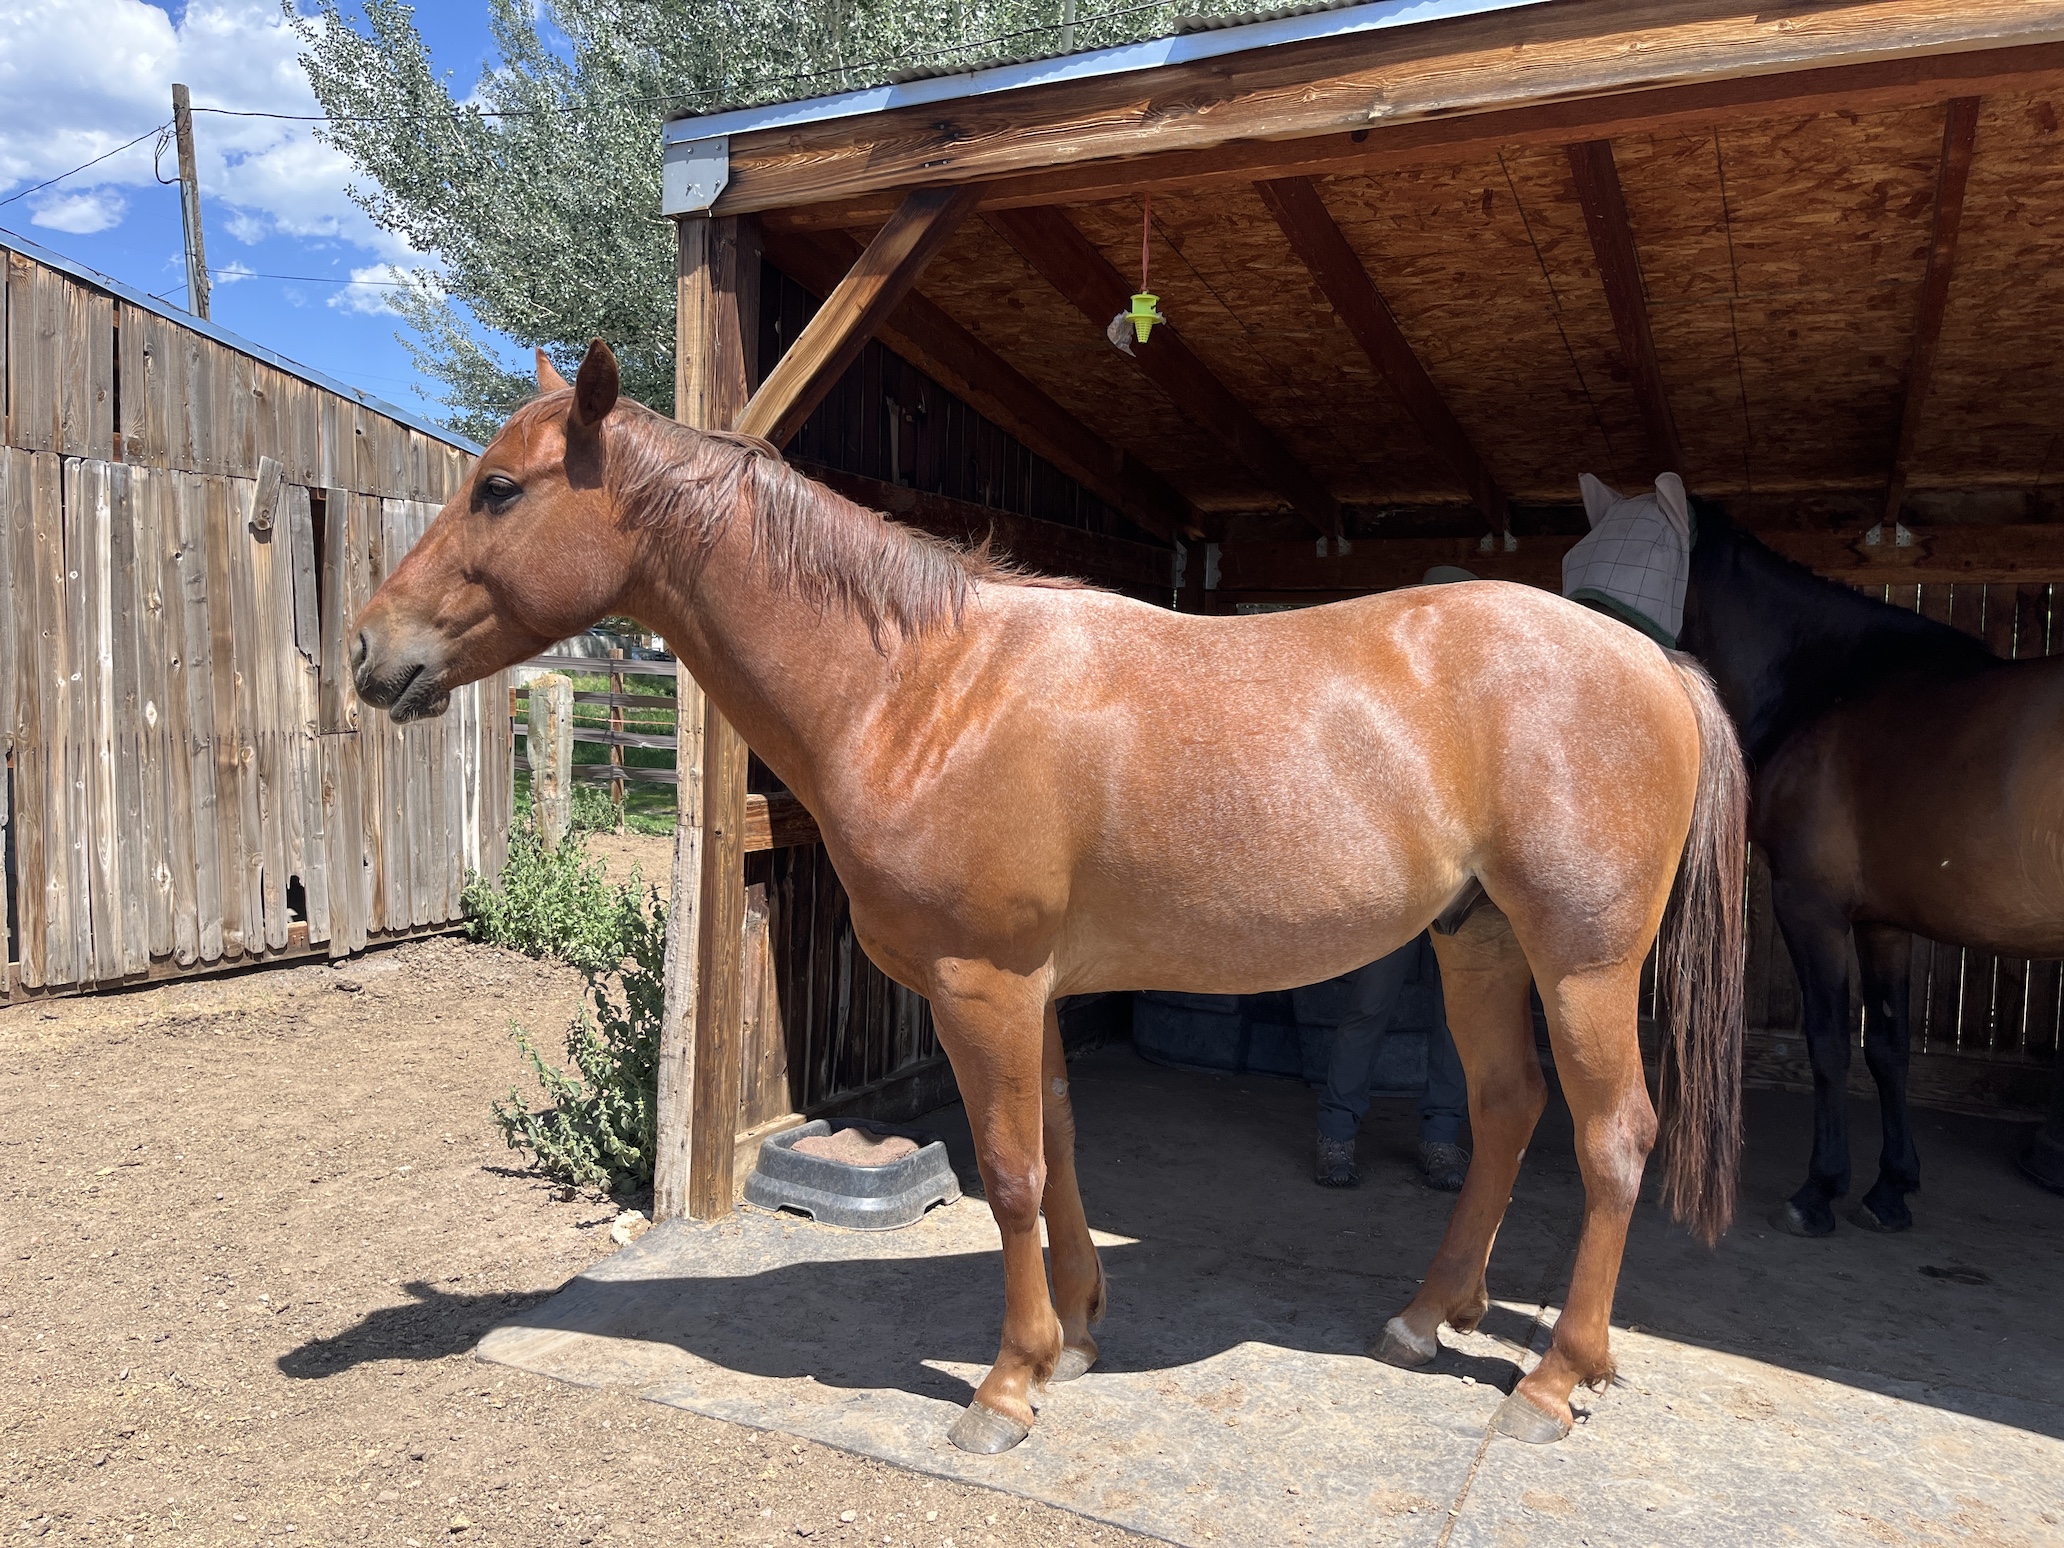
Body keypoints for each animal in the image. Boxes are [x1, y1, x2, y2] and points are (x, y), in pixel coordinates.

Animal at [352, 340, 1747, 1452]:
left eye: (500, 487)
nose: (369, 651)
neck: (925, 686)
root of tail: (1652, 659)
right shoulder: (1039, 994)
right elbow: (1064, 1147)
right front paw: (1074, 1334)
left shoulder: (985, 986)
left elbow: (1013, 1172)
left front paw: (1006, 1386)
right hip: (1479, 945)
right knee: (1509, 1110)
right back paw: (1423, 1318)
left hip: (1582, 965)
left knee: (1614, 1139)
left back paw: (1556, 1378)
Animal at [1677, 504, 2064, 1236]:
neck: (1828, 681)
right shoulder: (1882, 924)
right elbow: (1888, 1048)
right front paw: (1890, 1188)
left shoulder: (1812, 908)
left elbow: (1830, 1043)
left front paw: (1819, 1190)